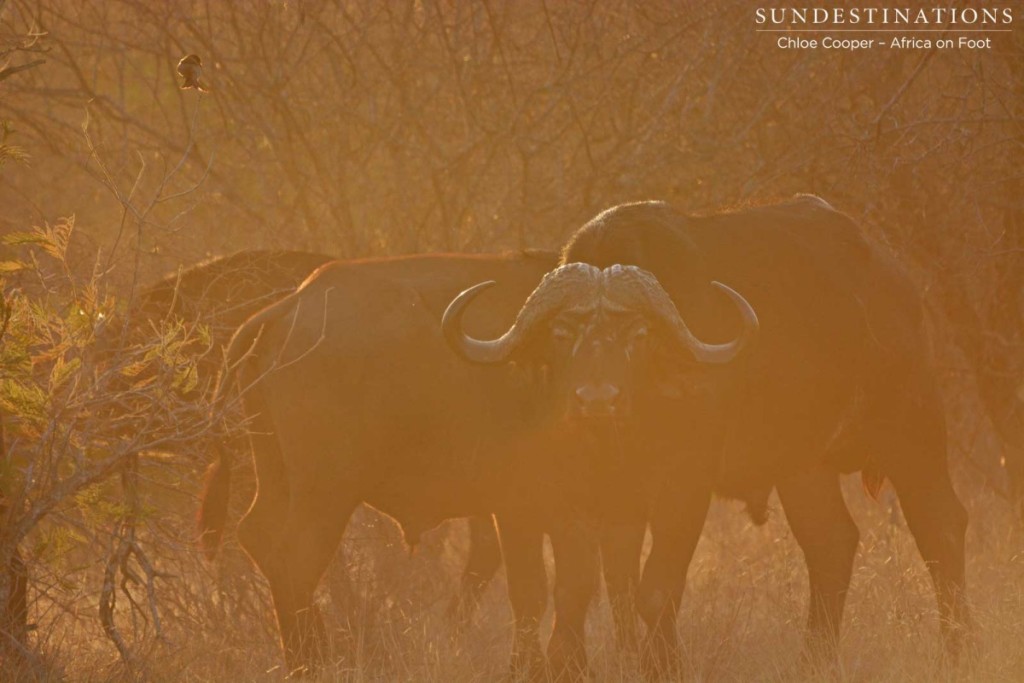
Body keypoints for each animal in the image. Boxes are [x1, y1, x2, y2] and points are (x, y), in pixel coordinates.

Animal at [446, 194, 966, 671]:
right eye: (563, 332)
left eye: (637, 334)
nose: (596, 399)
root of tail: (896, 282)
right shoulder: (595, 499)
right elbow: (598, 586)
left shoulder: (686, 485)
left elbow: (656, 588)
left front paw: (663, 665)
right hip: (803, 466)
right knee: (831, 543)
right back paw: (813, 661)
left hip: (912, 427)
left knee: (941, 526)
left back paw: (957, 651)